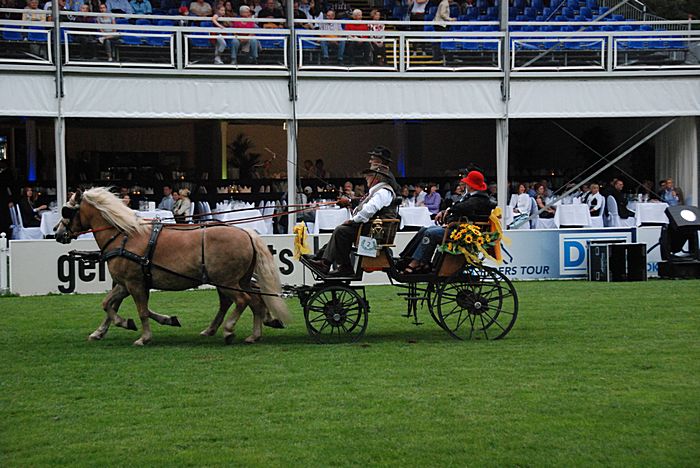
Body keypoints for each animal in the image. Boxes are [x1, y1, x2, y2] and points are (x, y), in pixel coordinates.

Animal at [55, 187, 290, 346]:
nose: (57, 233)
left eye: (66, 211)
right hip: (238, 280)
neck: (123, 236)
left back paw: (228, 330)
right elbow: (108, 305)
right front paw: (115, 326)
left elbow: (141, 311)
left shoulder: (135, 283)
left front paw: (144, 337)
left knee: (242, 301)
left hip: (227, 281)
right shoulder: (124, 284)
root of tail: (246, 233)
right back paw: (251, 334)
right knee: (254, 302)